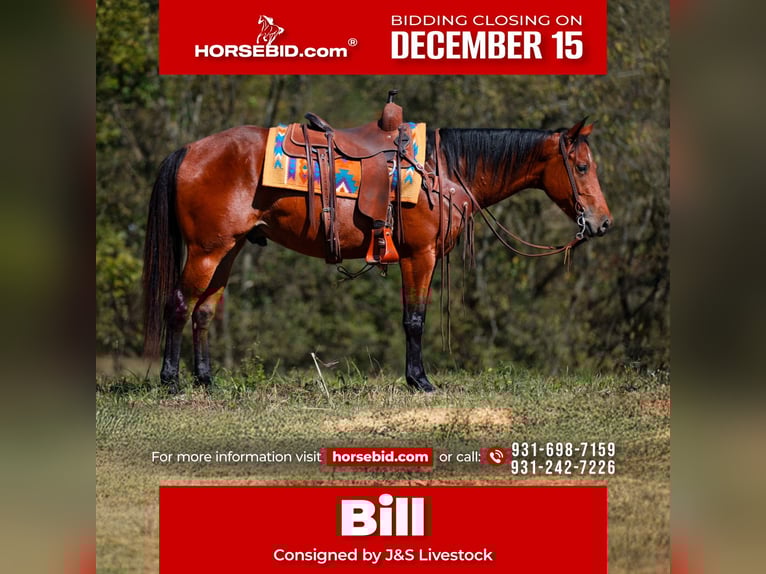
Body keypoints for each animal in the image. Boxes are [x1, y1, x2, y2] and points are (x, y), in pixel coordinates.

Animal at [142, 117, 613, 394]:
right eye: (583, 167)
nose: (603, 223)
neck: (441, 171)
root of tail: (190, 150)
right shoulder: (419, 256)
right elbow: (414, 320)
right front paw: (420, 381)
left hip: (228, 251)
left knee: (204, 311)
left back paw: (206, 380)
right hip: (206, 251)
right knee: (179, 305)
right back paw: (171, 382)